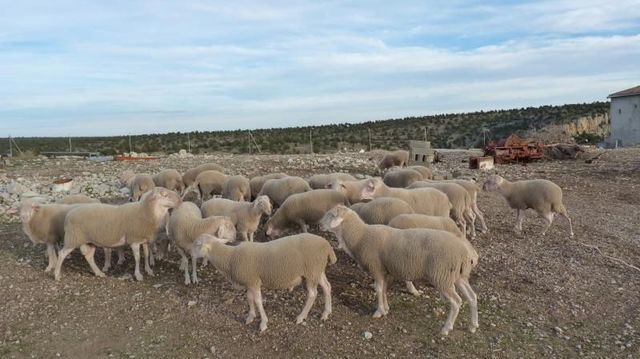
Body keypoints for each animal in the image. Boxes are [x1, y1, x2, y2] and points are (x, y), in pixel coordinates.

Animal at [53, 187, 181, 282]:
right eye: (164, 194)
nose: (180, 200)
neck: (146, 212)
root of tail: (69, 215)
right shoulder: (134, 240)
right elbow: (137, 258)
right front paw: (138, 275)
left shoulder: (144, 239)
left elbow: (146, 254)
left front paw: (148, 270)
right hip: (73, 238)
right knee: (62, 254)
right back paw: (56, 275)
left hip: (89, 241)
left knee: (89, 256)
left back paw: (99, 273)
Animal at [194, 233, 336, 332]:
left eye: (197, 244)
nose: (191, 254)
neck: (230, 258)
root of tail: (327, 245)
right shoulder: (250, 282)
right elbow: (249, 298)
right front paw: (250, 317)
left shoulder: (254, 281)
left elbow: (258, 301)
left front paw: (263, 323)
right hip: (317, 270)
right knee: (327, 286)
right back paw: (326, 313)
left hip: (311, 271)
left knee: (312, 294)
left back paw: (301, 317)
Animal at [320, 205, 480, 338]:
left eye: (332, 215)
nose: (320, 225)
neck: (360, 236)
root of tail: (464, 253)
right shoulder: (386, 270)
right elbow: (384, 289)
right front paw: (386, 308)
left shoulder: (376, 268)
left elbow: (379, 289)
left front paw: (378, 311)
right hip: (458, 276)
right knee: (472, 297)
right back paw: (473, 326)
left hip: (442, 275)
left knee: (456, 302)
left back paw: (446, 328)